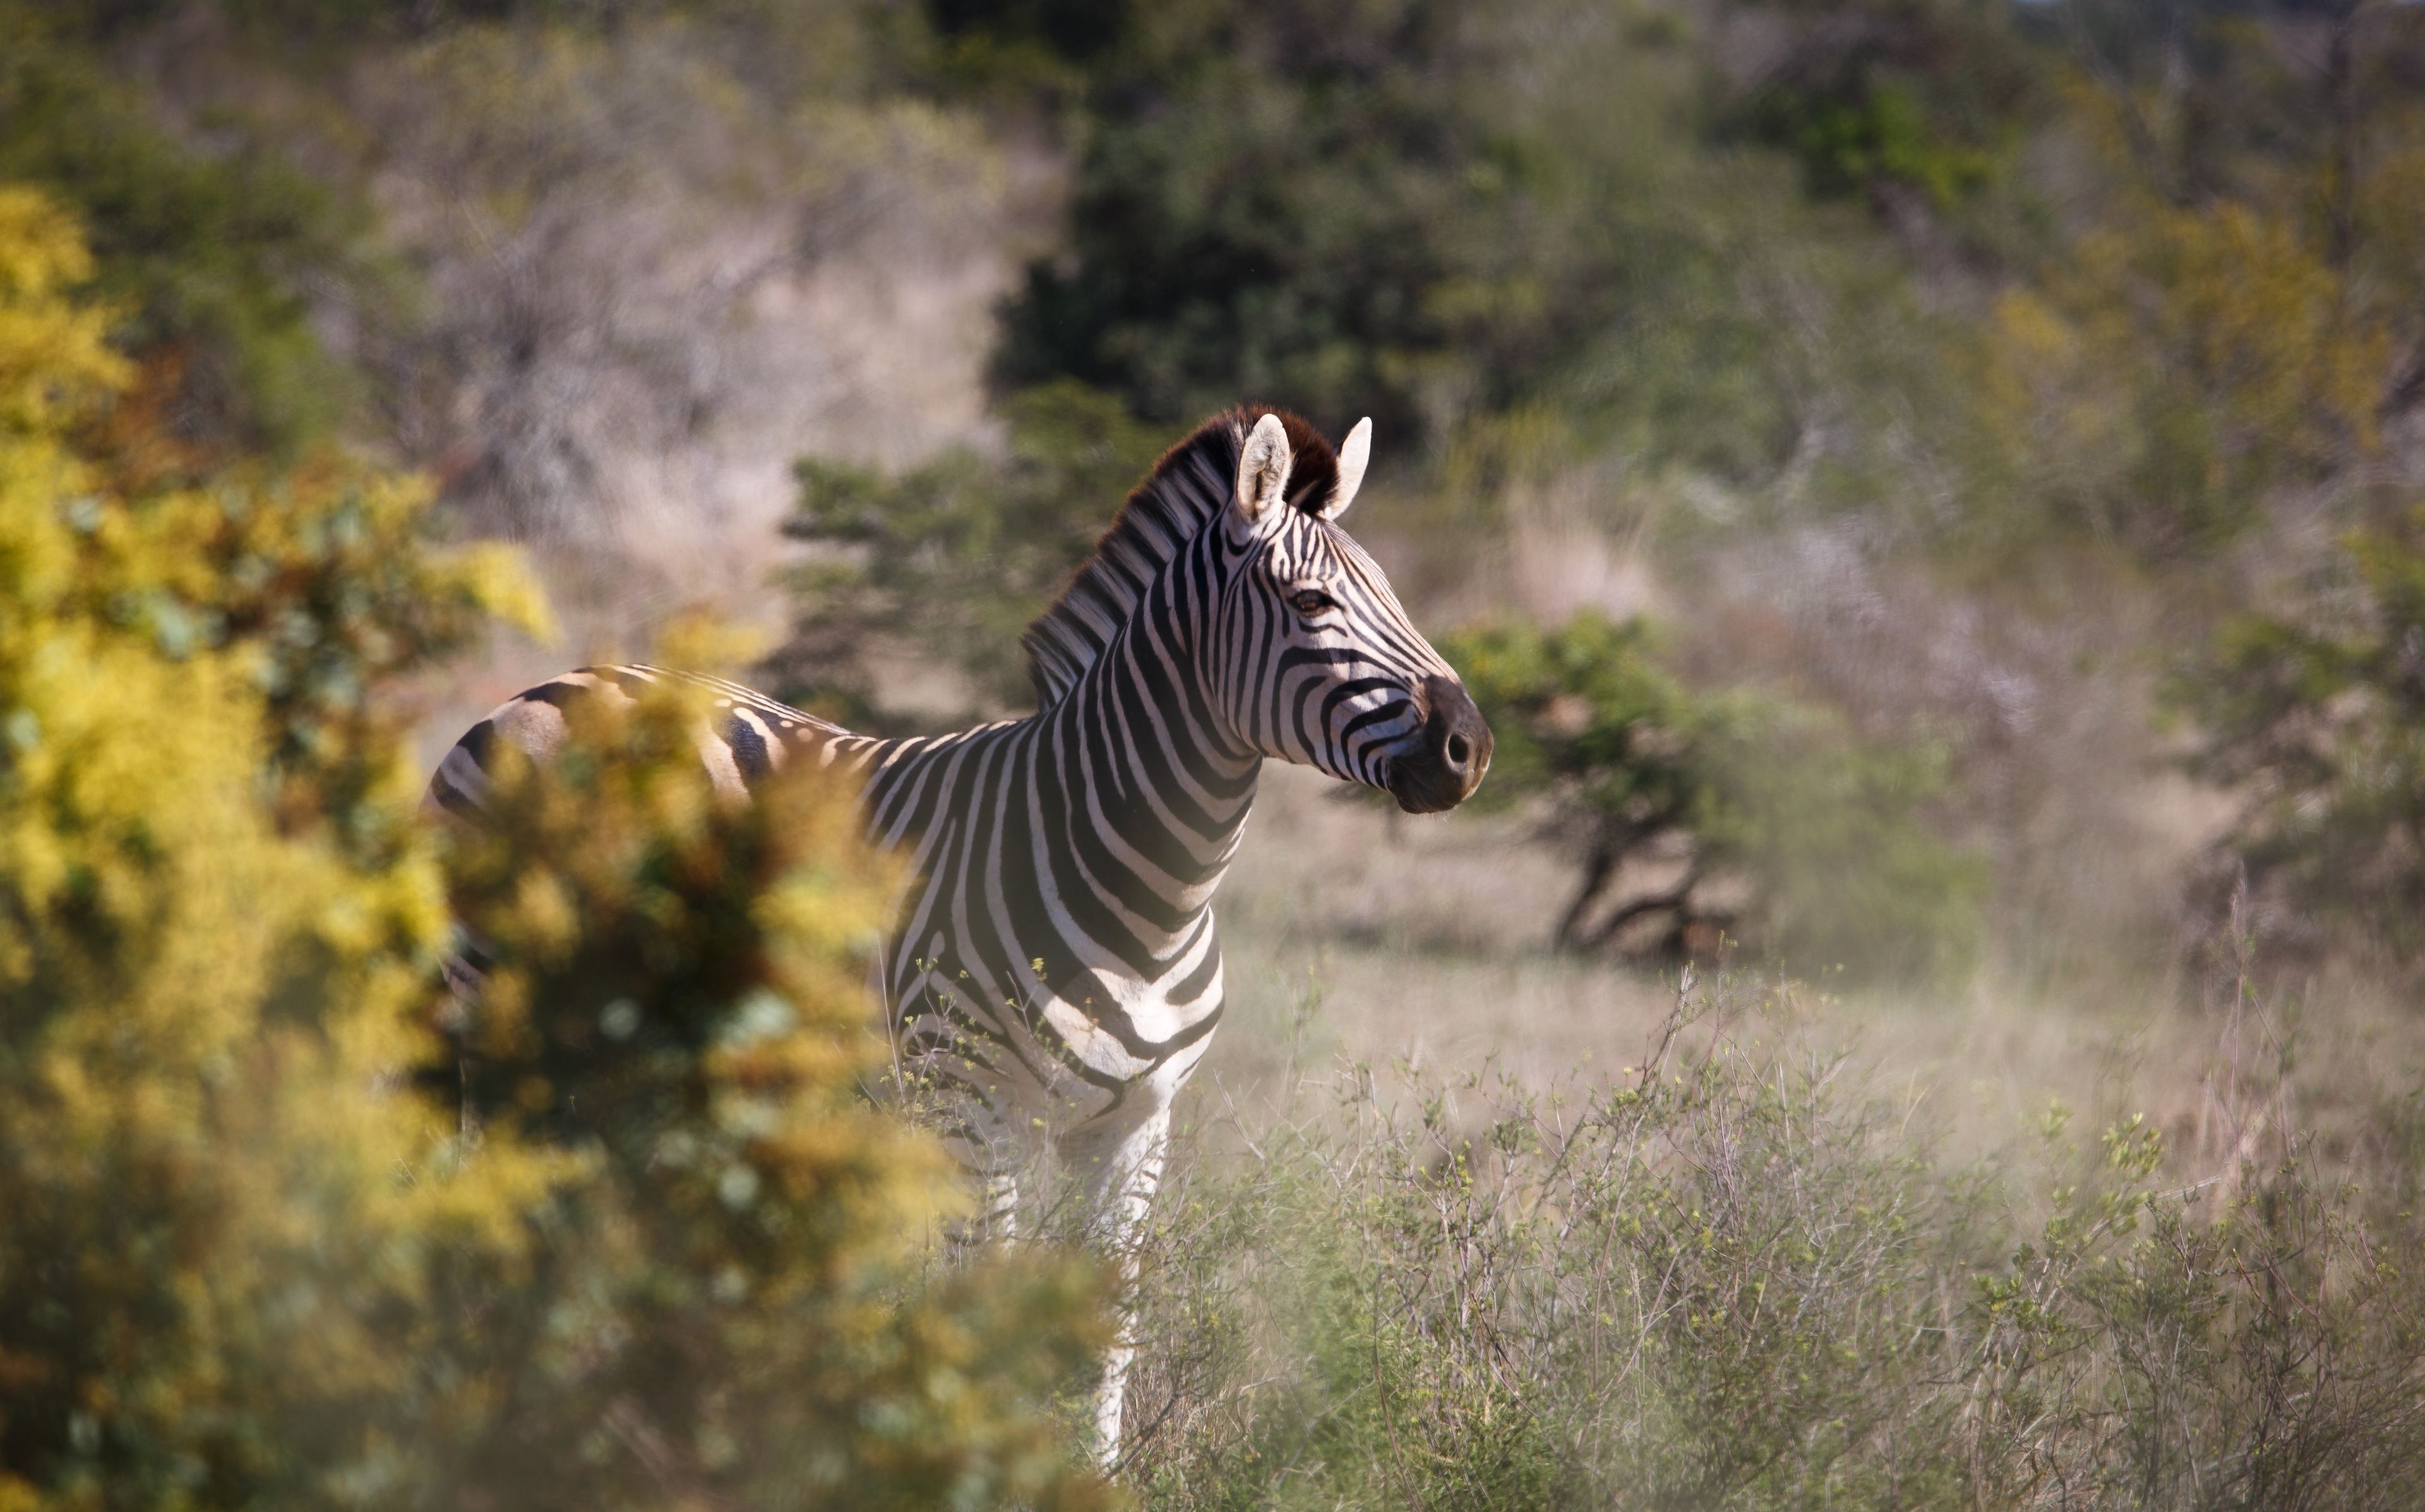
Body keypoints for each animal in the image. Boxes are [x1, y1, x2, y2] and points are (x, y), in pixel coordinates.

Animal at [425, 406, 1493, 1466]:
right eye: (1311, 602)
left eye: (1395, 594)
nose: (1470, 748)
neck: (1148, 896)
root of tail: (540, 685)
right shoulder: (970, 1107)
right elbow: (983, 1296)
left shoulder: (1137, 1121)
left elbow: (1105, 1320)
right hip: (498, 1012)